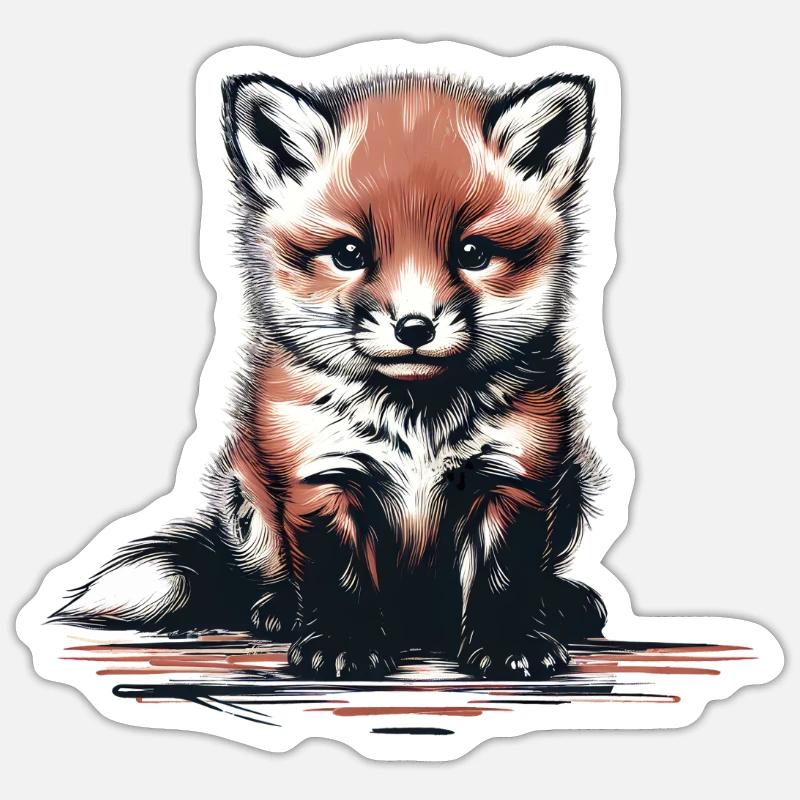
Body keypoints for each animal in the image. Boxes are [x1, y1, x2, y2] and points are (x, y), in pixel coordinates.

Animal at [53, 71, 608, 680]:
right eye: (348, 253)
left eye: (472, 252)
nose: (414, 327)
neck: (416, 421)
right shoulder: (320, 476)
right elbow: (338, 576)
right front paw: (345, 642)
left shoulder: (513, 475)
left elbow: (504, 575)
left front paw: (510, 640)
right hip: (247, 496)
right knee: (261, 577)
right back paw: (277, 608)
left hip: (574, 484)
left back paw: (560, 602)